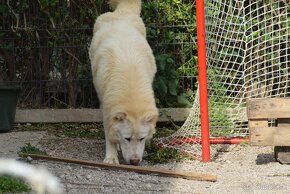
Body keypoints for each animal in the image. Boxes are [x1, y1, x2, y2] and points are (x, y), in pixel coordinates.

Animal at [89, 0, 159, 165]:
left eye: (141, 138)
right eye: (127, 138)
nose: (134, 162)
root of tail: (121, 12)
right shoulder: (106, 108)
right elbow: (109, 135)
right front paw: (111, 157)